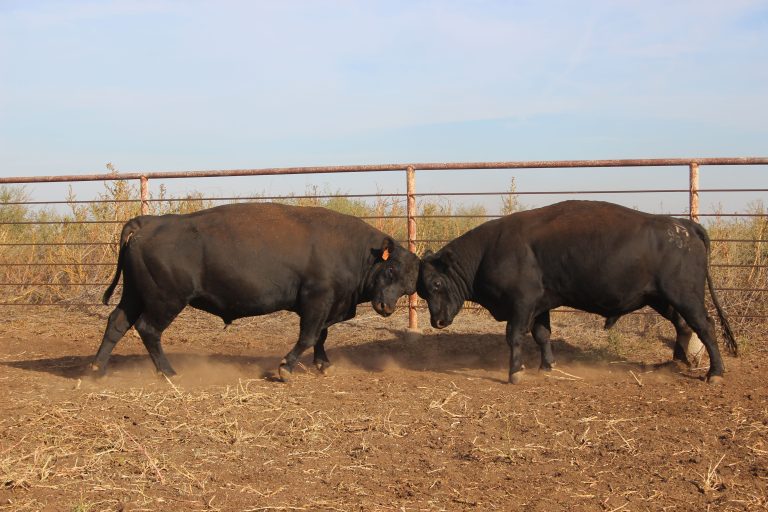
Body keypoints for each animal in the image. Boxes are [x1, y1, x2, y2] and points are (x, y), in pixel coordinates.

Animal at [92, 202, 420, 381]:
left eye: (409, 286)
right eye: (390, 270)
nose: (386, 307)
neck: (356, 251)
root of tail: (150, 222)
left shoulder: (328, 305)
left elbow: (321, 335)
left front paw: (323, 364)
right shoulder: (316, 300)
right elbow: (309, 335)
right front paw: (285, 368)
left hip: (135, 294)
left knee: (117, 322)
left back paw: (97, 368)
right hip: (165, 300)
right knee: (148, 329)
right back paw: (169, 373)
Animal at [417, 200, 738, 384]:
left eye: (436, 284)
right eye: (422, 290)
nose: (437, 321)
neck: (489, 251)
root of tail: (683, 224)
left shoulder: (522, 304)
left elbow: (515, 335)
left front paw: (515, 373)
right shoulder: (541, 305)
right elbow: (542, 334)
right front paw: (546, 366)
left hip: (685, 296)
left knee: (705, 326)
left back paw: (715, 373)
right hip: (663, 299)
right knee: (683, 325)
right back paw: (676, 362)